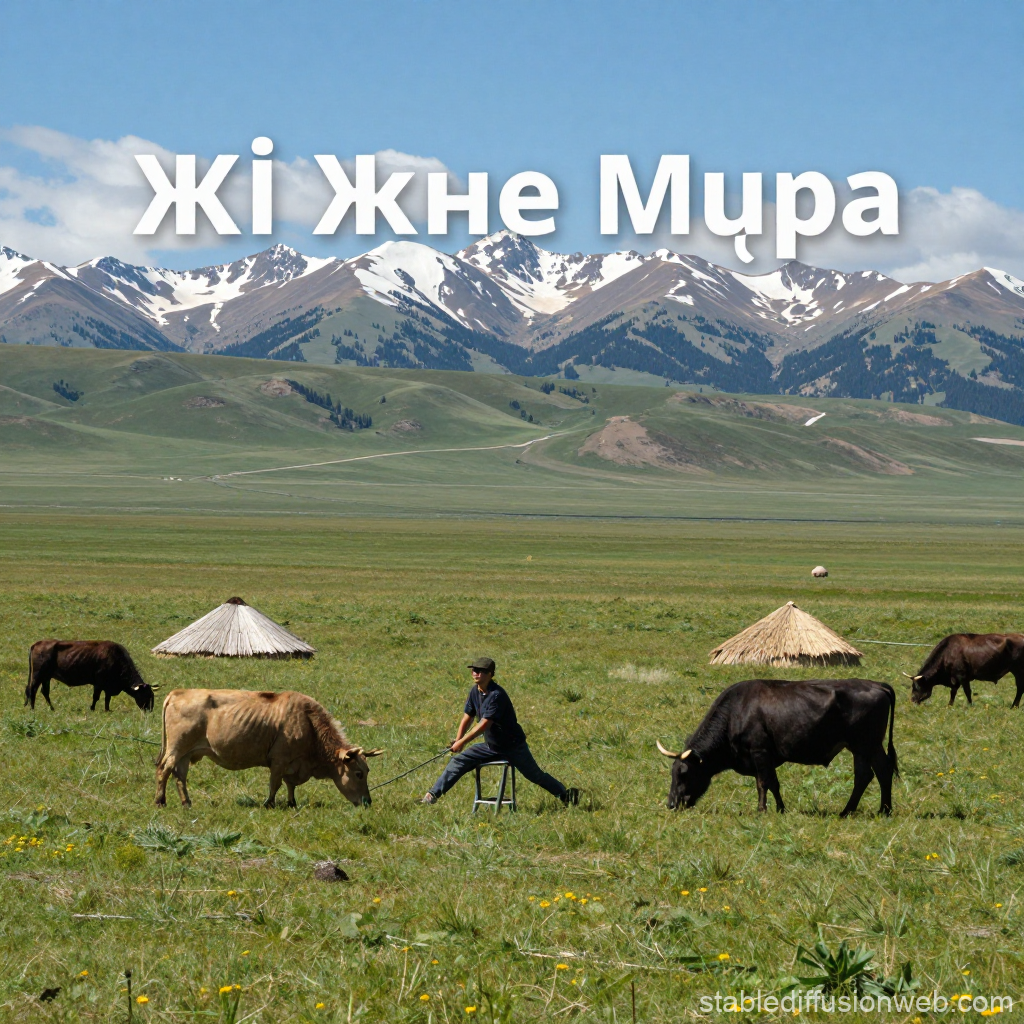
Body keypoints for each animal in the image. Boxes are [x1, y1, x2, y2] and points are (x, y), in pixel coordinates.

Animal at [25, 640, 157, 712]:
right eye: (146, 695)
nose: (150, 710)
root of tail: (37, 643)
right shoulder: (99, 683)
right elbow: (96, 697)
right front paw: (92, 708)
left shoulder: (108, 686)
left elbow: (107, 698)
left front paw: (107, 709)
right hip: (38, 675)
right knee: (33, 690)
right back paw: (32, 708)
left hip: (46, 677)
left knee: (44, 692)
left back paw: (52, 708)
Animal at [155, 688, 383, 808]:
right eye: (358, 773)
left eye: (368, 771)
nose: (368, 802)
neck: (308, 722)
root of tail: (177, 692)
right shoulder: (279, 760)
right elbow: (276, 783)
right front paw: (269, 804)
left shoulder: (293, 764)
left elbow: (290, 785)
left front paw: (292, 803)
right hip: (176, 748)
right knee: (164, 770)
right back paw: (160, 801)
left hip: (186, 754)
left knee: (179, 776)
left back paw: (186, 803)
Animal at [657, 678, 898, 816]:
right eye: (672, 773)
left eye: (684, 773)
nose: (671, 804)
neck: (737, 712)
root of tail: (877, 685)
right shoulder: (762, 758)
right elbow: (772, 783)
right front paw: (780, 809)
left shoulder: (759, 751)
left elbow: (764, 783)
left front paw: (762, 810)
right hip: (859, 748)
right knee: (864, 776)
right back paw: (847, 811)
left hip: (870, 744)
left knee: (883, 771)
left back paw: (884, 810)